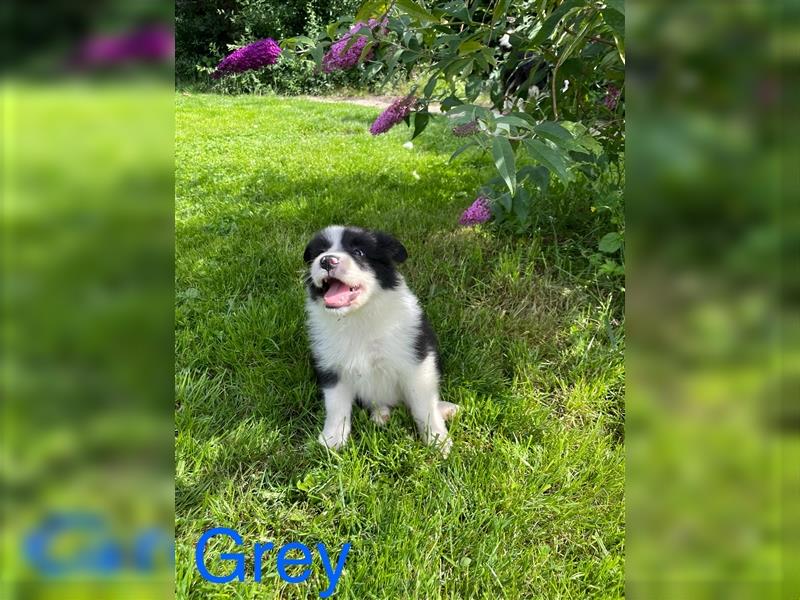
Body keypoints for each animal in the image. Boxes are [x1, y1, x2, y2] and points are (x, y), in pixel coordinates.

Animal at [304, 225, 460, 454]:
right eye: (319, 252)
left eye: (359, 252)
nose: (326, 261)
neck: (357, 317)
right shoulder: (331, 367)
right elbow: (336, 405)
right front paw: (332, 439)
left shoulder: (416, 363)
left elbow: (423, 405)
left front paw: (437, 440)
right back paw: (380, 414)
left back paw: (445, 409)